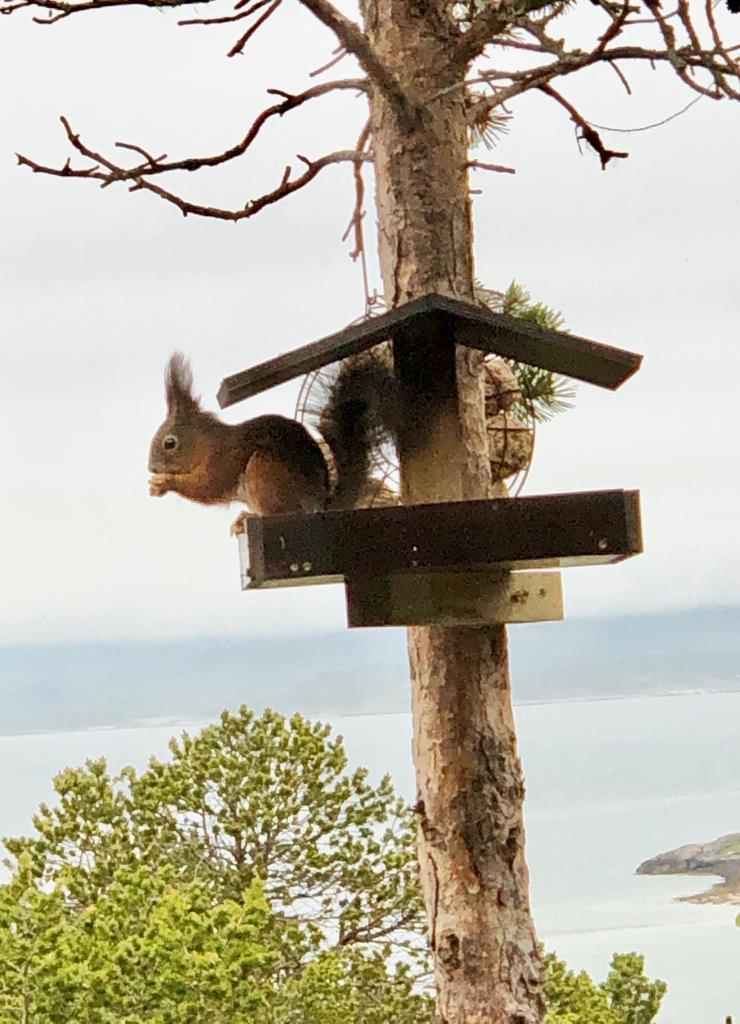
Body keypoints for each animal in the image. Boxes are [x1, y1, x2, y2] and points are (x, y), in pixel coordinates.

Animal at [146, 350, 399, 528]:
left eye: (170, 443)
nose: (151, 468)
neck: (207, 444)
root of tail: (318, 505)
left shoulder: (223, 459)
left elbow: (208, 487)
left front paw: (165, 483)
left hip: (264, 470)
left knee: (282, 512)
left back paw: (246, 517)